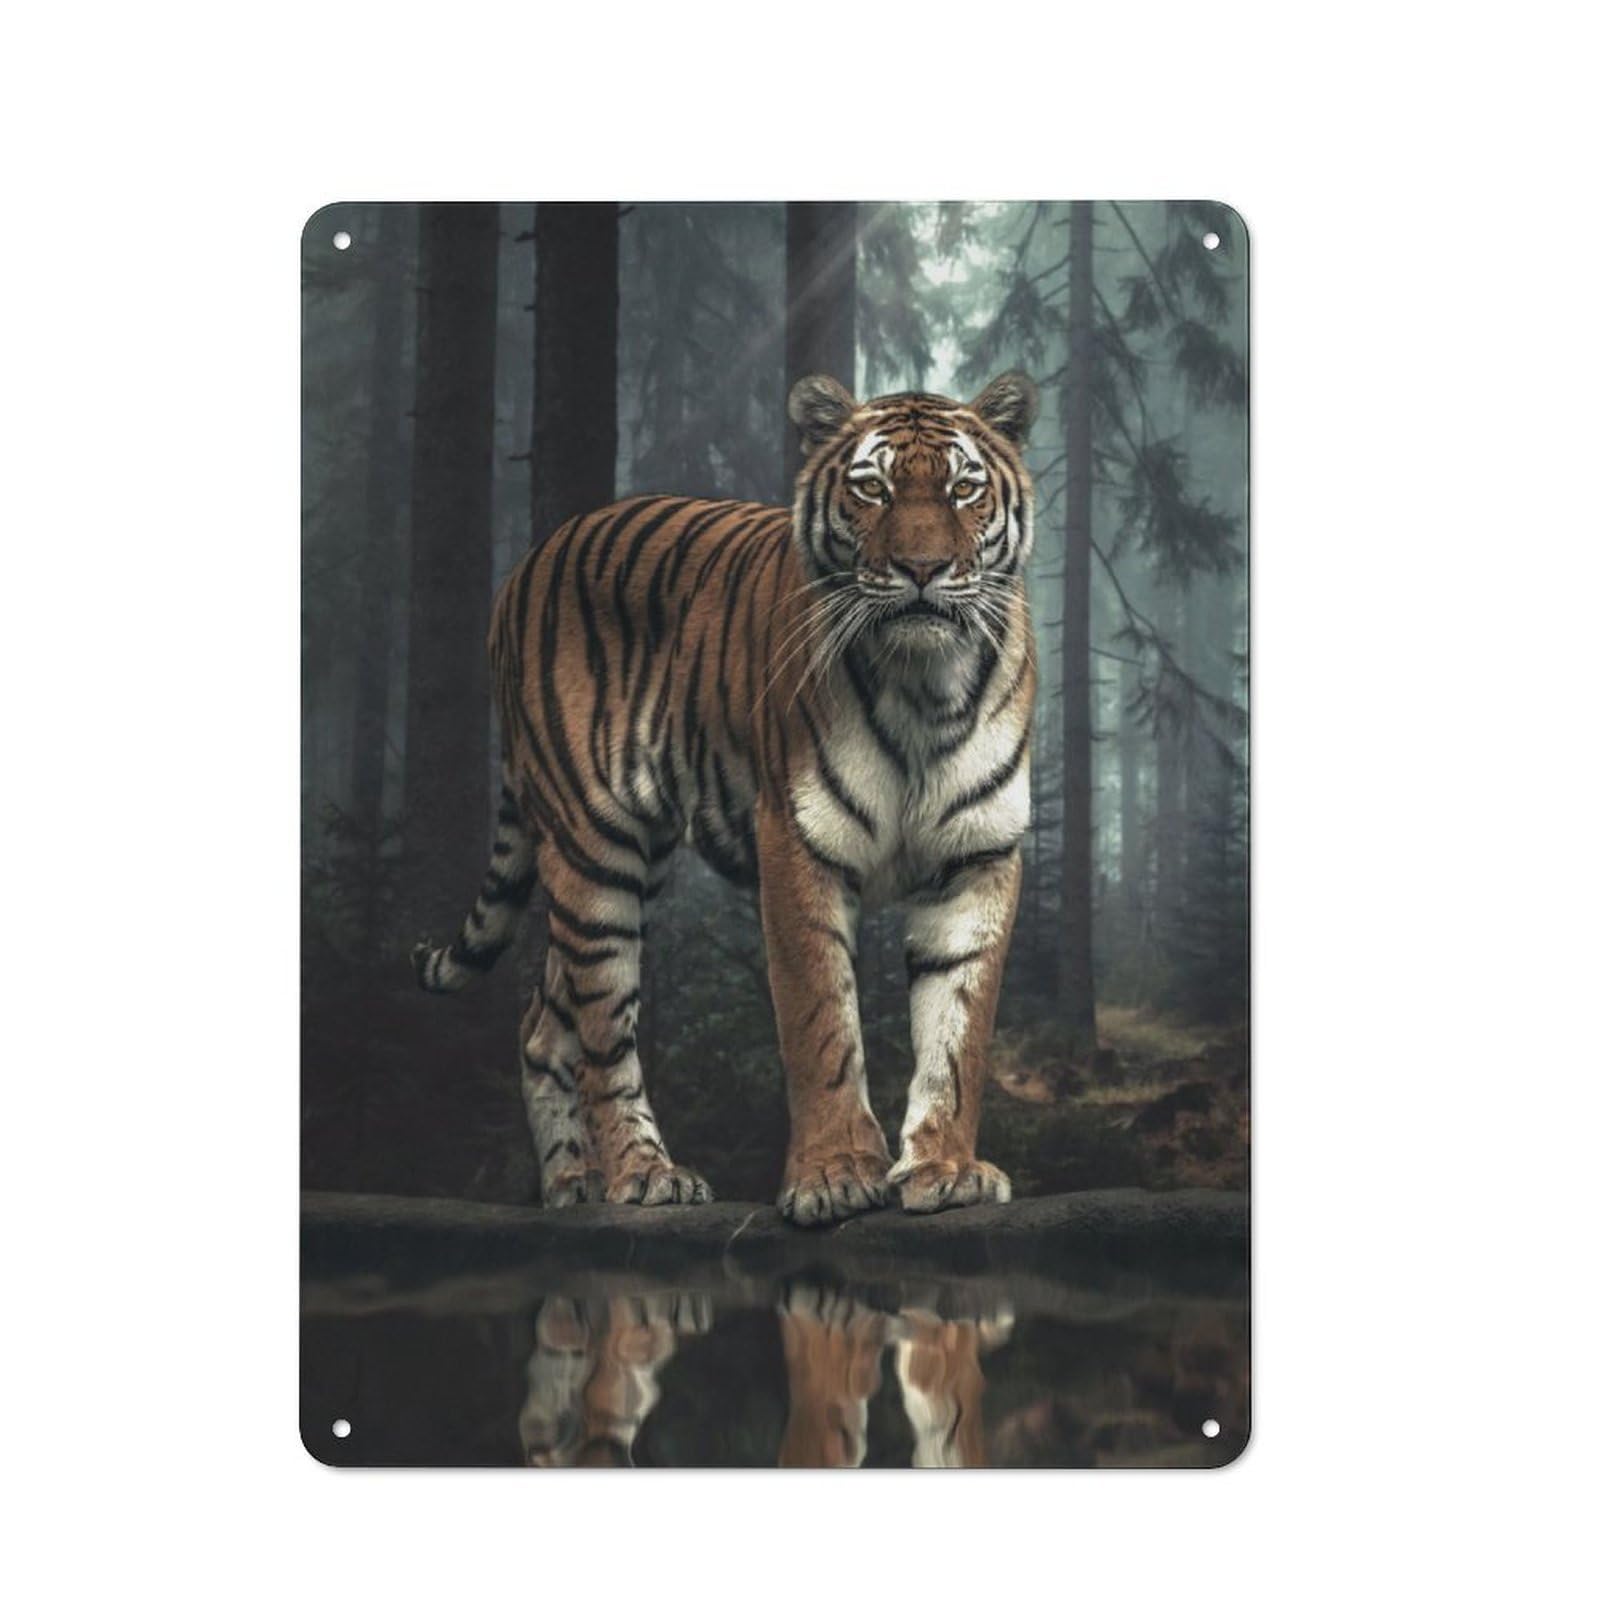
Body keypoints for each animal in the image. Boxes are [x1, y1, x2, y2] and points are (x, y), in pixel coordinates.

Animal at [412, 370, 1040, 1225]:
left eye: (963, 488)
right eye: (871, 489)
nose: (922, 568)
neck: (925, 686)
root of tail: (528, 560)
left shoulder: (978, 856)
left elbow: (958, 1031)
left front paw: (945, 1169)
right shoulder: (798, 841)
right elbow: (820, 1022)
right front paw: (835, 1176)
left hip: (633, 861)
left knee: (545, 1020)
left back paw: (571, 1186)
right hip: (593, 851)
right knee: (602, 1031)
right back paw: (642, 1175)